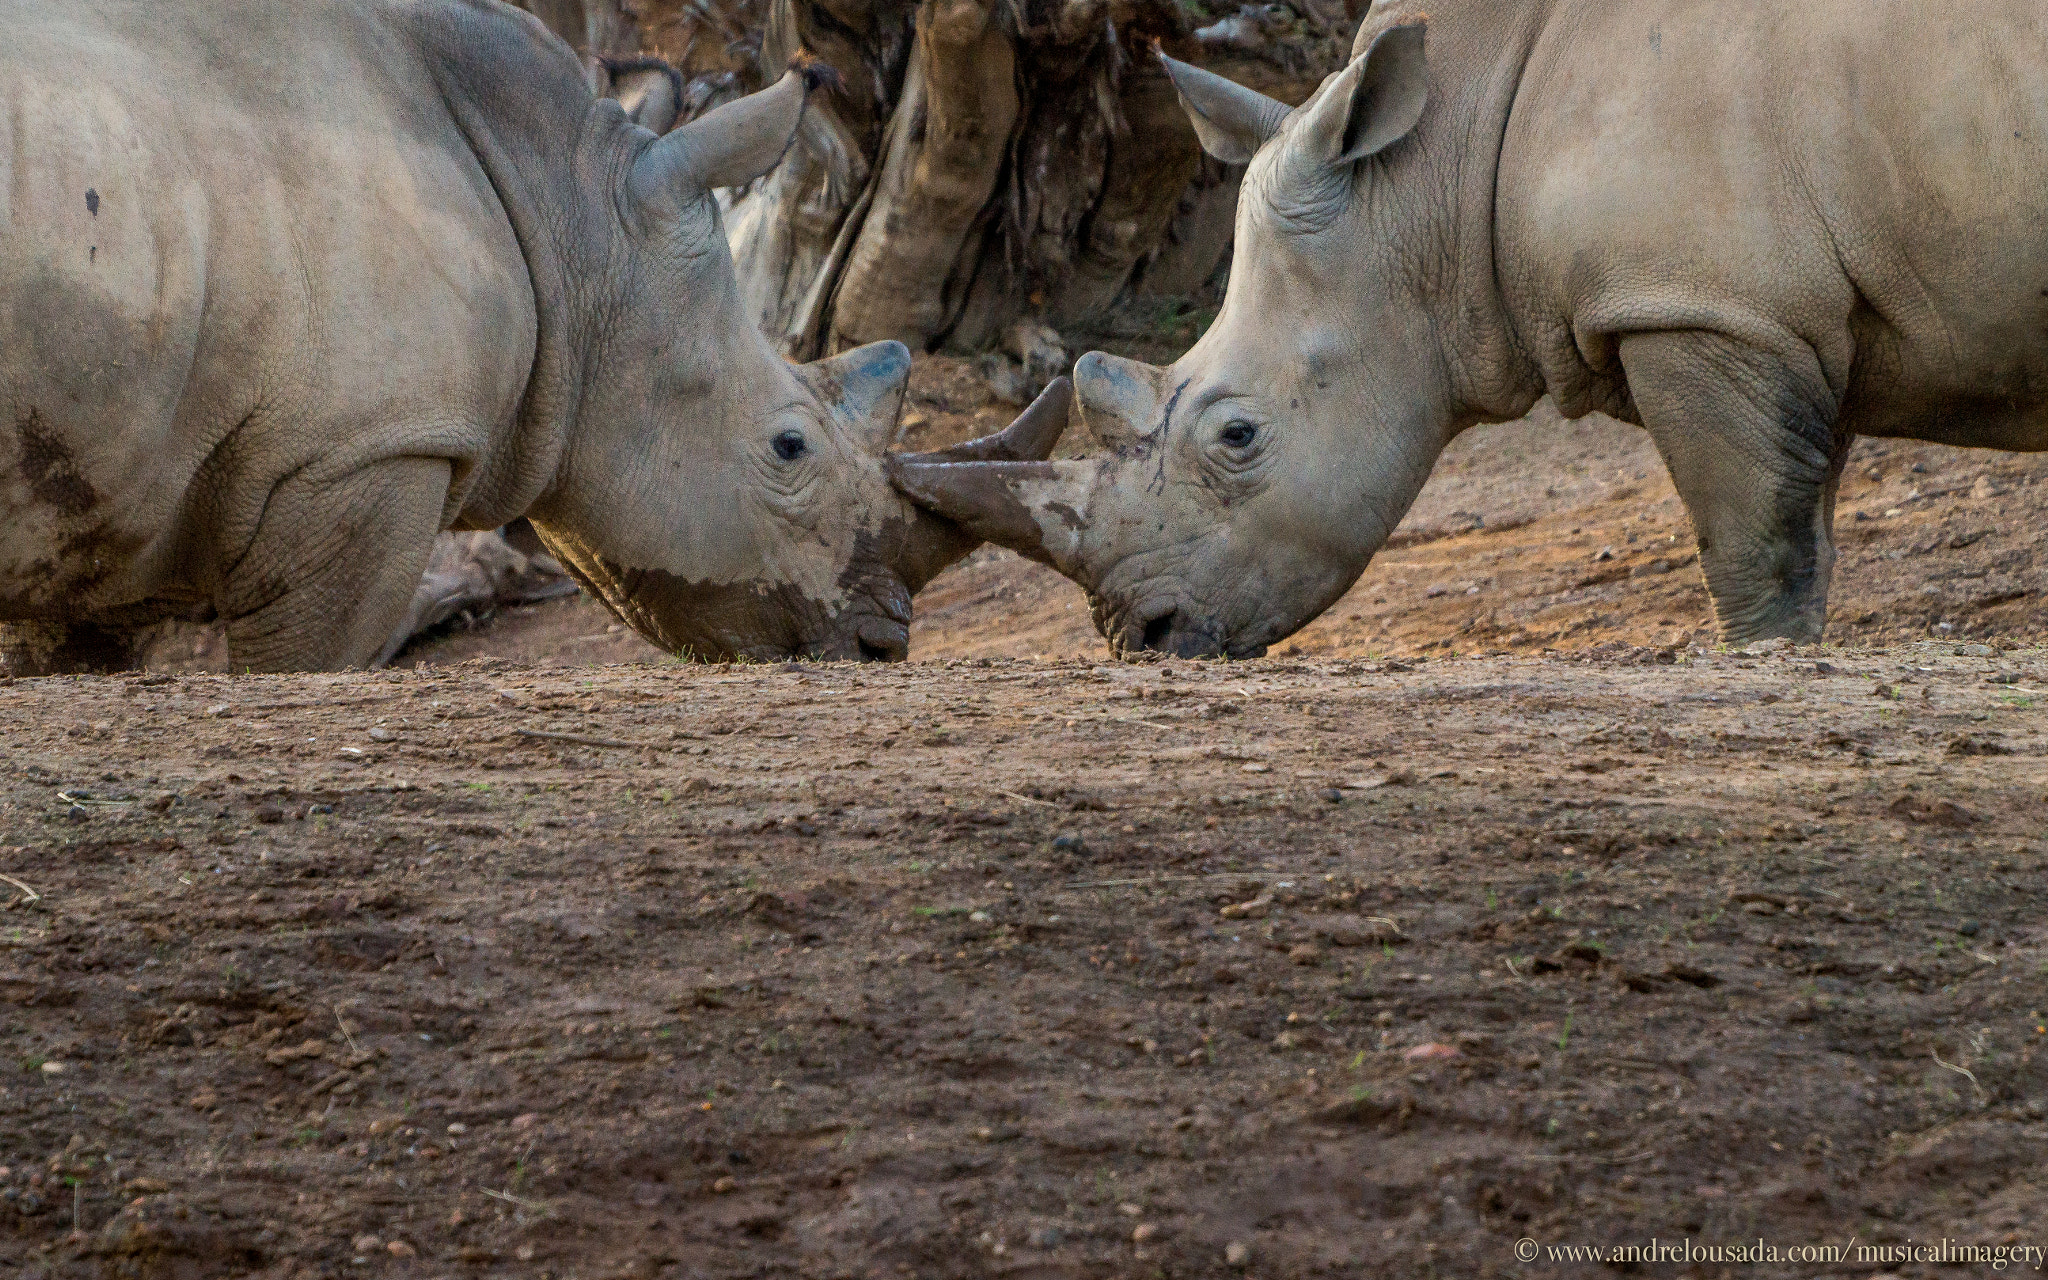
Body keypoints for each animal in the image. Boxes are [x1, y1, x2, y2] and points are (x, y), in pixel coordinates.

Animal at [0, 0, 1047, 673]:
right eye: (790, 447)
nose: (882, 646)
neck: (569, 203)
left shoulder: (99, 495)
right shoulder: (365, 449)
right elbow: (308, 664)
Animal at [894, 0, 2048, 656]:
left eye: (1237, 436)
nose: (1140, 637)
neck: (1425, 174)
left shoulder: (1699, 306)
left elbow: (1753, 538)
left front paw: (1762, 659)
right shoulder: (1779, 313)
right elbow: (1801, 523)